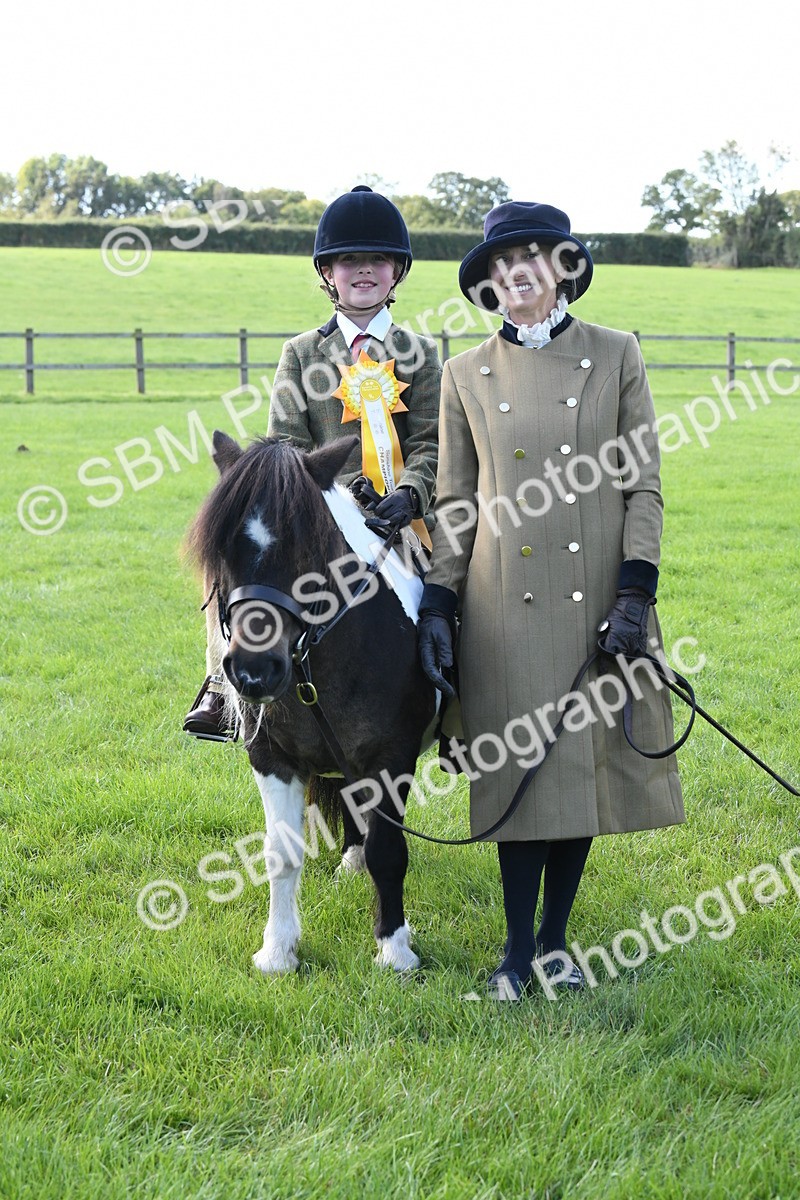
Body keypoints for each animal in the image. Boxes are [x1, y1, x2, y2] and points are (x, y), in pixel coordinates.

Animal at [188, 430, 438, 975]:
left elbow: (390, 851)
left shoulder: (392, 757)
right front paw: (278, 951)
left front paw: (395, 950)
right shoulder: (270, 757)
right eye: (223, 551)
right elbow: (281, 851)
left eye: (306, 550)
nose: (254, 671)